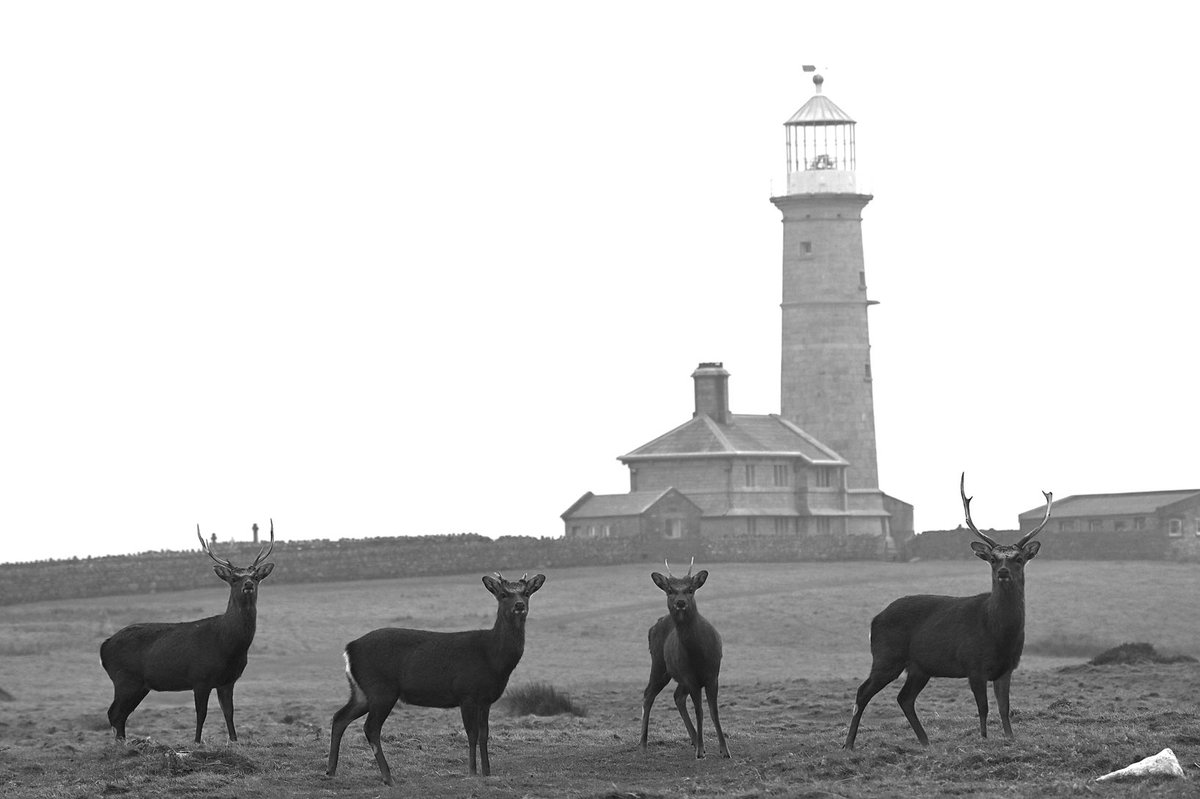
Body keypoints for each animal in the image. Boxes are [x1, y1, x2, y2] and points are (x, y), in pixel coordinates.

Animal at [99, 520, 276, 743]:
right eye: (234, 578)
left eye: (256, 576)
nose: (248, 584)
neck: (228, 645)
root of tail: (103, 646)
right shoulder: (200, 677)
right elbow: (201, 713)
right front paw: (197, 741)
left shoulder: (228, 681)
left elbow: (229, 712)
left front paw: (234, 741)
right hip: (124, 678)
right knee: (114, 713)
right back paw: (120, 744)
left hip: (139, 684)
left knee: (120, 714)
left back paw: (123, 743)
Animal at [321, 568, 542, 782]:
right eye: (503, 594)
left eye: (526, 593)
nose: (519, 605)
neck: (493, 658)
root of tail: (349, 649)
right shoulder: (466, 692)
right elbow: (471, 733)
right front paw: (472, 771)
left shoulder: (486, 699)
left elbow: (484, 734)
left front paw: (487, 772)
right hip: (381, 689)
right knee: (370, 728)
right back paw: (387, 777)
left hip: (362, 692)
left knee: (340, 717)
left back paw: (331, 770)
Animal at [638, 556, 729, 758]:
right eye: (670, 590)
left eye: (690, 589)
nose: (680, 602)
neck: (699, 654)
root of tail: (651, 628)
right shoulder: (691, 677)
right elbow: (700, 711)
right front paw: (701, 751)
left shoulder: (713, 674)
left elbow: (714, 712)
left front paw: (724, 750)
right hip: (659, 665)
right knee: (649, 694)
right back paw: (643, 743)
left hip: (677, 675)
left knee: (677, 696)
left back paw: (694, 740)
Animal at [844, 475, 1051, 748]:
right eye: (993, 559)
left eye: (1018, 558)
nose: (1003, 572)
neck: (998, 633)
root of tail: (874, 620)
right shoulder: (974, 664)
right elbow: (983, 708)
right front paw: (983, 739)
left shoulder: (1007, 667)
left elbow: (1004, 709)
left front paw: (1010, 738)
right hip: (886, 656)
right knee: (863, 691)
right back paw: (848, 744)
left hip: (919, 667)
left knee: (904, 698)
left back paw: (926, 741)